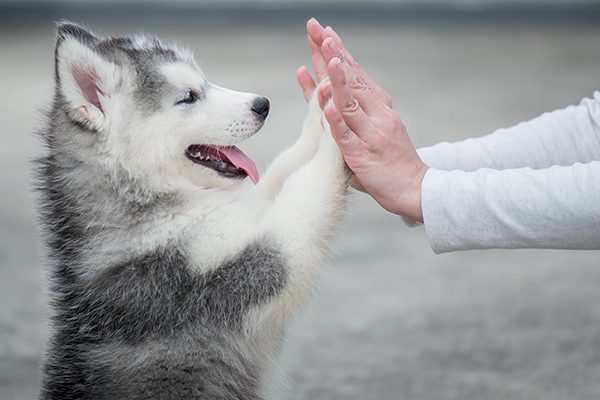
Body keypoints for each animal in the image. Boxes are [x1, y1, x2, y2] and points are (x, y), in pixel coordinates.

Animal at [34, 22, 346, 400]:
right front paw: (341, 128)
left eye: (204, 82)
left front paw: (323, 104)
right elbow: (306, 190)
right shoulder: (233, 269)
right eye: (189, 96)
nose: (262, 104)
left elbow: (284, 169)